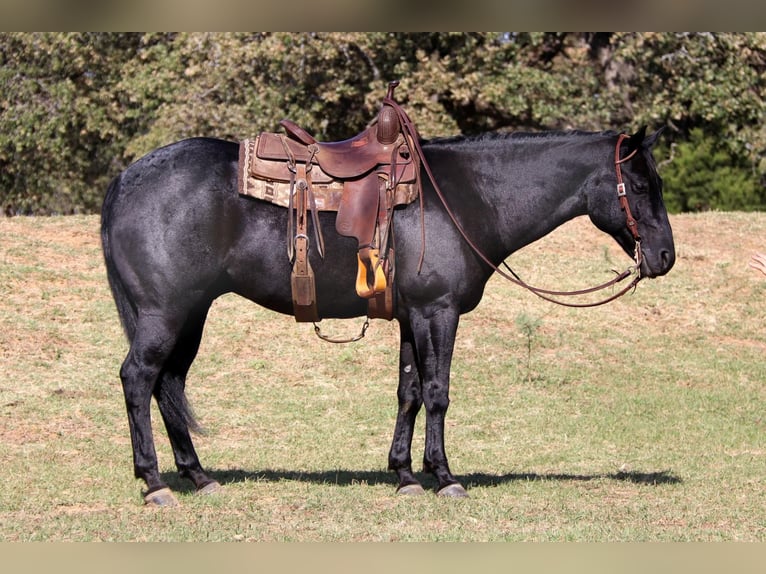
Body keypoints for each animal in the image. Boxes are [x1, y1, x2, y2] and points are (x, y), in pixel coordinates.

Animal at [102, 127, 680, 508]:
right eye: (642, 185)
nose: (665, 256)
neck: (467, 198)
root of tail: (127, 178)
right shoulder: (437, 311)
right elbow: (438, 392)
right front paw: (443, 476)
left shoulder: (411, 316)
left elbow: (409, 391)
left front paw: (403, 473)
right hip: (164, 314)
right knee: (138, 379)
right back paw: (155, 483)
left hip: (190, 314)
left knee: (169, 384)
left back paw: (198, 475)